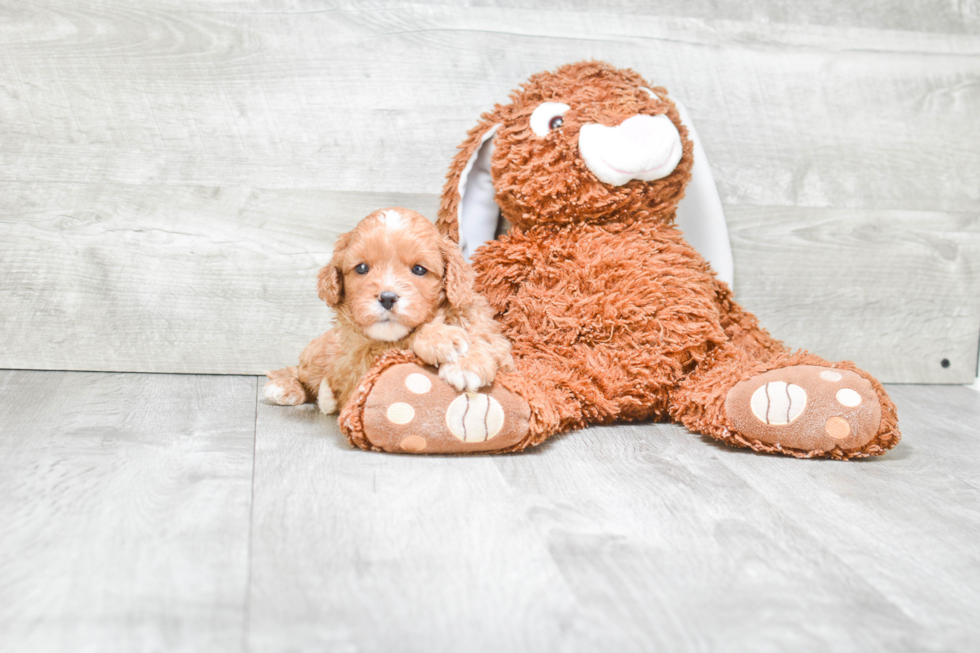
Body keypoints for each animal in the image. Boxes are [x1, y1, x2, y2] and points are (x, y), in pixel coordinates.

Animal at [264, 208, 516, 412]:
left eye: (419, 269)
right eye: (361, 268)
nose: (387, 298)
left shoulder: (498, 345)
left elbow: (486, 340)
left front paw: (468, 362)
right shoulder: (359, 363)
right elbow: (404, 339)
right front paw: (441, 339)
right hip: (318, 353)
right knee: (300, 371)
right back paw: (285, 387)